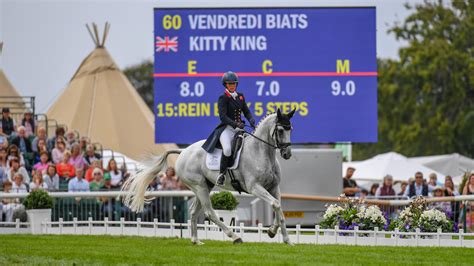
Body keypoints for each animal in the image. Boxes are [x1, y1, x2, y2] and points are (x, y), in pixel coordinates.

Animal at [123, 108, 292, 245]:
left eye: (291, 129)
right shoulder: (255, 187)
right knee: (209, 212)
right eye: (281, 130)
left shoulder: (273, 187)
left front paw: (280, 236)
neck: (261, 152)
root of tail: (183, 152)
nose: (287, 154)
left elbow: (278, 206)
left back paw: (196, 240)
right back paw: (235, 236)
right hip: (200, 187)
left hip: (204, 187)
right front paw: (277, 234)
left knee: (193, 211)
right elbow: (276, 204)